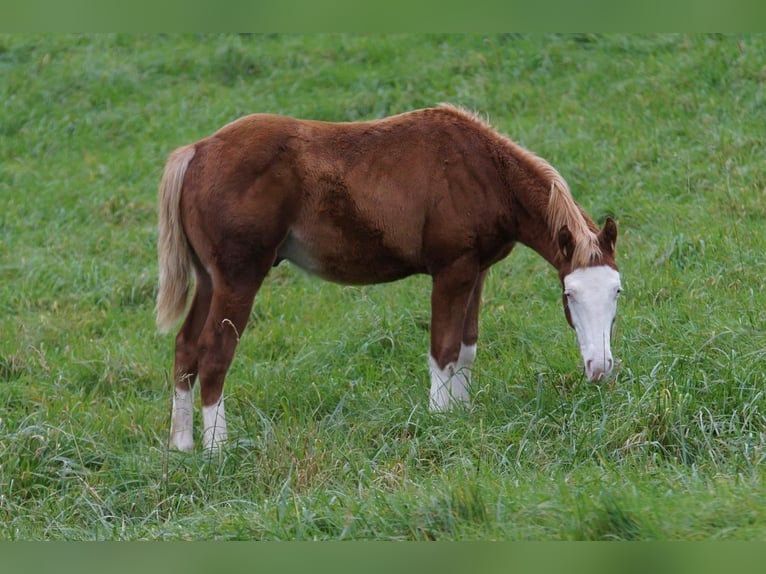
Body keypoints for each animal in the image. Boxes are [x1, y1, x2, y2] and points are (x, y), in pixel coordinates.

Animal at [158, 104, 624, 454]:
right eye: (570, 294)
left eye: (617, 291)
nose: (600, 368)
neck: (484, 171)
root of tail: (196, 151)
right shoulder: (452, 270)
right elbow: (443, 349)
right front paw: (440, 422)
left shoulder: (477, 271)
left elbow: (466, 348)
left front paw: (462, 414)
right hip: (238, 278)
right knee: (215, 353)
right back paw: (217, 451)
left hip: (209, 280)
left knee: (186, 347)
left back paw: (181, 446)